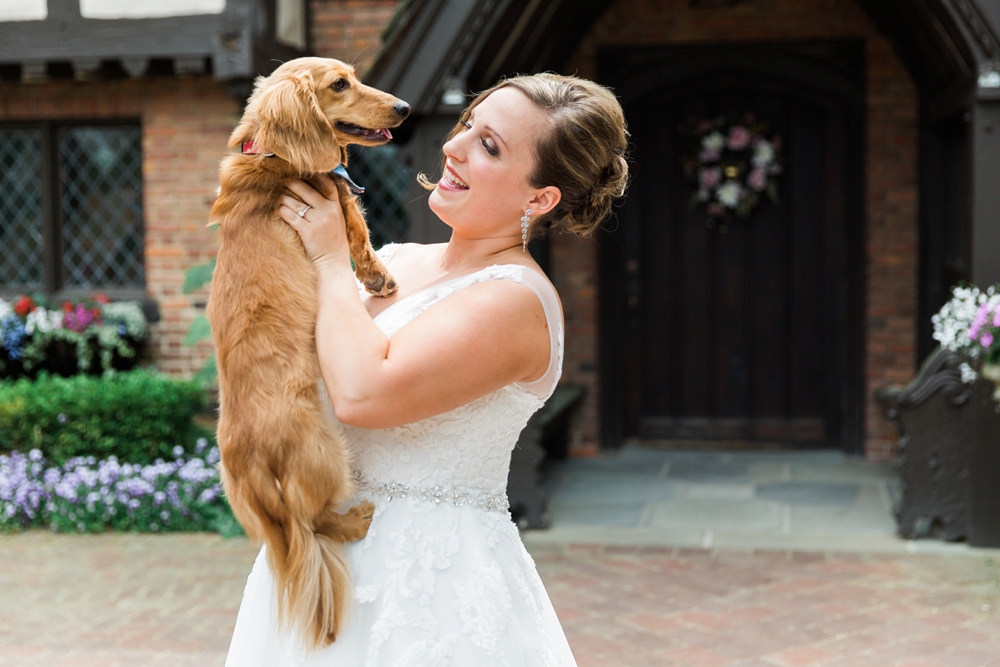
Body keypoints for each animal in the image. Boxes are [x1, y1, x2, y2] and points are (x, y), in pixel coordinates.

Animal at [205, 57, 408, 648]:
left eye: (355, 76)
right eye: (339, 85)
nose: (404, 108)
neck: (270, 156)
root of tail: (251, 465)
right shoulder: (330, 196)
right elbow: (354, 219)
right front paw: (378, 275)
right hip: (326, 454)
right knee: (316, 521)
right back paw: (357, 520)